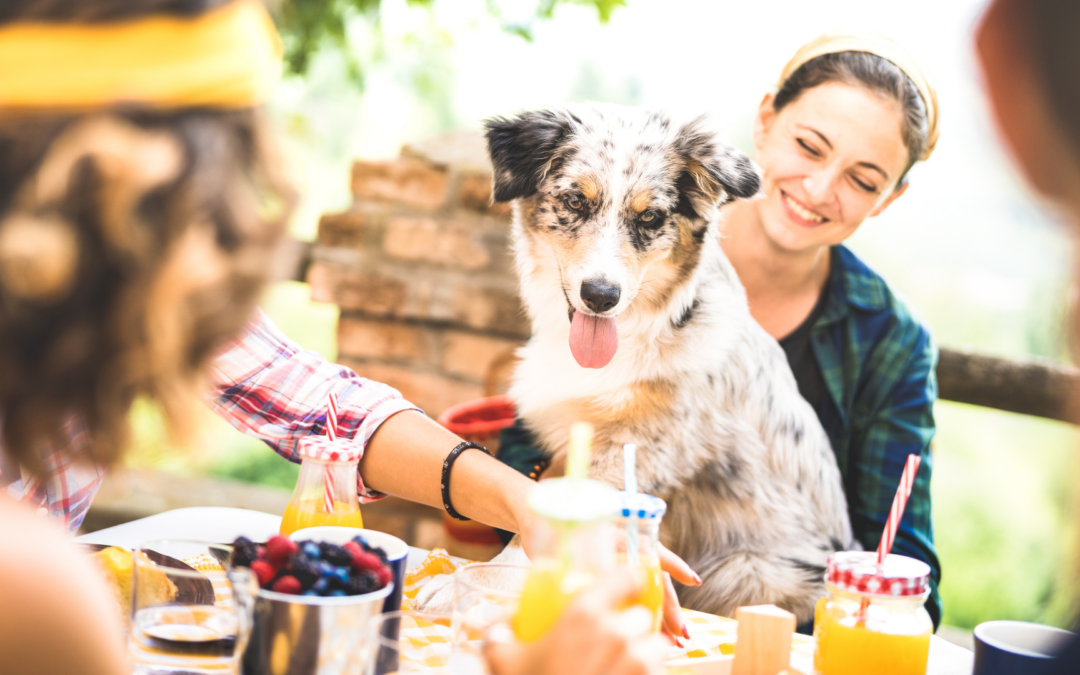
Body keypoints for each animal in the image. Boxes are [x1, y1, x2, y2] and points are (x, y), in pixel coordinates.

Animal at [416, 102, 846, 622]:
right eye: (575, 201)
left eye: (650, 216)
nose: (601, 296)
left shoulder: (636, 451)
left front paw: (479, 587)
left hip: (747, 569)